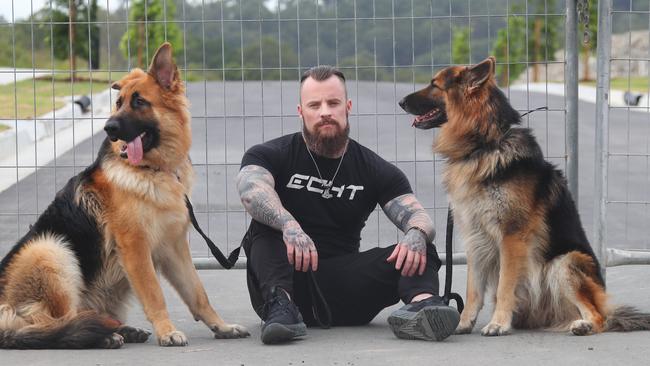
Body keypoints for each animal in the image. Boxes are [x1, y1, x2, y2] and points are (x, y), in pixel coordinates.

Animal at [0, 43, 248, 348]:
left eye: (139, 102)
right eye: (118, 103)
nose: (108, 128)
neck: (153, 170)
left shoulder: (174, 247)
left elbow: (197, 292)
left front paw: (221, 326)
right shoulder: (135, 247)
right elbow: (154, 293)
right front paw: (167, 331)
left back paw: (119, 329)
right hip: (49, 249)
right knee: (50, 324)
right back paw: (101, 335)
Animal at [398, 56, 648, 334]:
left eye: (435, 85)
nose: (401, 102)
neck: (484, 144)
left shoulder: (512, 237)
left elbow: (505, 285)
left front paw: (498, 323)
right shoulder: (475, 237)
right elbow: (473, 289)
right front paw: (463, 322)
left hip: (565, 262)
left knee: (599, 316)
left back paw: (583, 325)